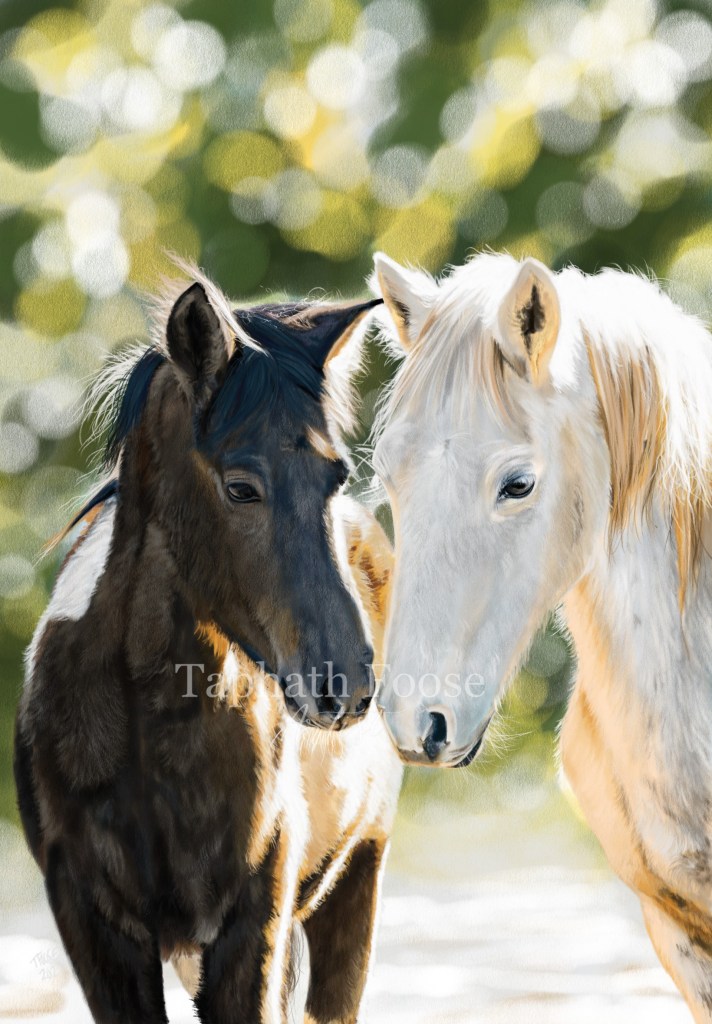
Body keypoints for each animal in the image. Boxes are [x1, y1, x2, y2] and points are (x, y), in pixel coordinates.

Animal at [14, 271, 402, 1024]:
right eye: (240, 486)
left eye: (336, 476)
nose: (344, 685)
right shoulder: (95, 933)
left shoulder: (251, 928)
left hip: (356, 879)